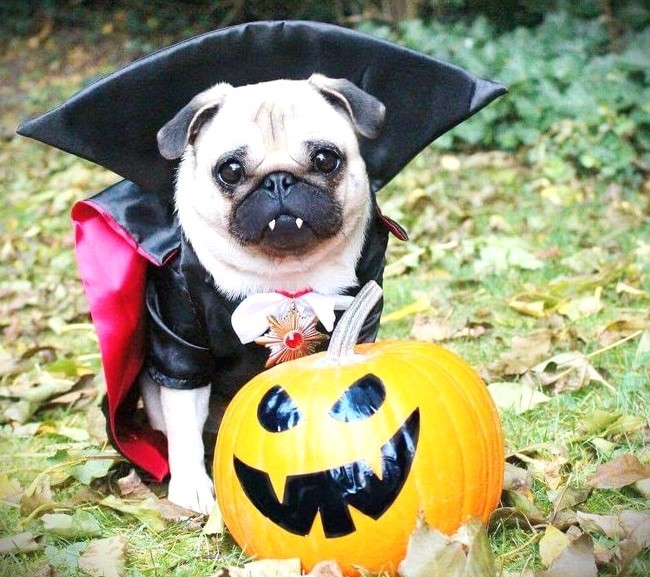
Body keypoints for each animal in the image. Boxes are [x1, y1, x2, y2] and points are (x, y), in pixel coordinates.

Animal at [138, 74, 384, 510]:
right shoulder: (181, 345)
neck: (284, 275)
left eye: (326, 160)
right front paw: (191, 487)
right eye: (231, 171)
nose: (278, 180)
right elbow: (183, 425)